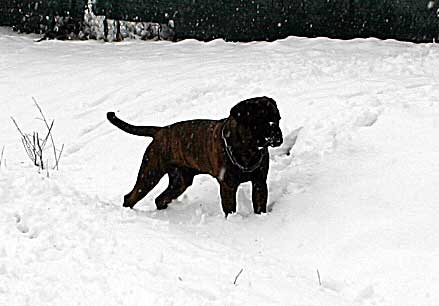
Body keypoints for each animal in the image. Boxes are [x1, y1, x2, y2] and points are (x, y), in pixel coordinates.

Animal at [108, 97, 284, 216]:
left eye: (277, 118)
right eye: (260, 120)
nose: (277, 135)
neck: (248, 149)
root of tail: (160, 131)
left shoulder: (259, 183)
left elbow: (260, 207)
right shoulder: (228, 186)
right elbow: (230, 210)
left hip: (179, 181)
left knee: (160, 199)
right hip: (150, 175)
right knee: (130, 197)